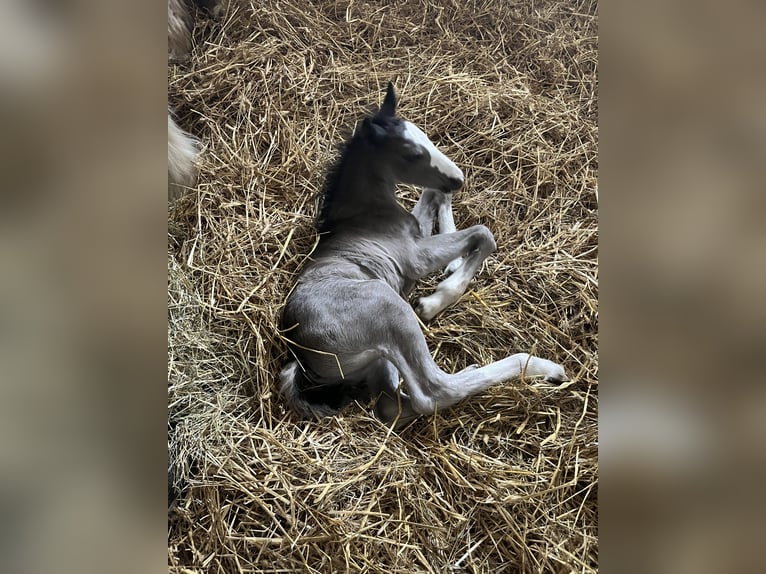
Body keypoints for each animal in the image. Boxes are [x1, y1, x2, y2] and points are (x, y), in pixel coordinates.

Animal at [279, 83, 567, 426]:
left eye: (427, 136)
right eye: (412, 153)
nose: (458, 179)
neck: (367, 213)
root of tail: (301, 359)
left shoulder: (416, 232)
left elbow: (433, 195)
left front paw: (454, 263)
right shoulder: (414, 257)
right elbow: (483, 234)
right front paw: (436, 298)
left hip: (378, 359)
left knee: (392, 406)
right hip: (389, 309)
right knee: (432, 392)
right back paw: (543, 367)